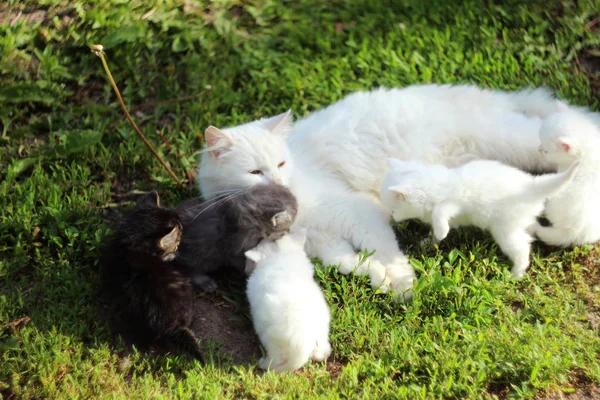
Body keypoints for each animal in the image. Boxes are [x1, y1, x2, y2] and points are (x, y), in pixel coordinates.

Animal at [246, 230, 336, 374]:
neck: (281, 257)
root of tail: (303, 341)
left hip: (272, 341)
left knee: (276, 358)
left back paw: (263, 364)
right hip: (321, 335)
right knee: (322, 352)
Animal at [382, 157, 580, 278]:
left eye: (393, 210)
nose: (392, 218)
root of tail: (532, 186)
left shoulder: (455, 202)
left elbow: (441, 211)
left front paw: (441, 231)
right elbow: (434, 233)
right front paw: (430, 242)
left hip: (504, 230)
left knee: (523, 248)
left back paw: (515, 274)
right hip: (518, 223)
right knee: (530, 232)